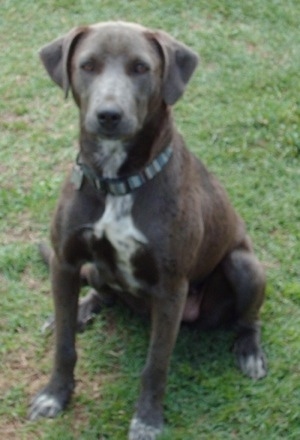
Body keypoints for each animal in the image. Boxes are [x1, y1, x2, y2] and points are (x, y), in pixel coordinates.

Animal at [28, 21, 268, 440]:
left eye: (141, 68)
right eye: (87, 65)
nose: (109, 115)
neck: (117, 182)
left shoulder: (171, 287)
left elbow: (155, 365)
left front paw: (147, 419)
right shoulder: (65, 261)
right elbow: (64, 347)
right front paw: (55, 395)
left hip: (245, 266)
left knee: (248, 318)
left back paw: (250, 352)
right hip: (94, 270)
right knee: (101, 292)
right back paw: (79, 309)